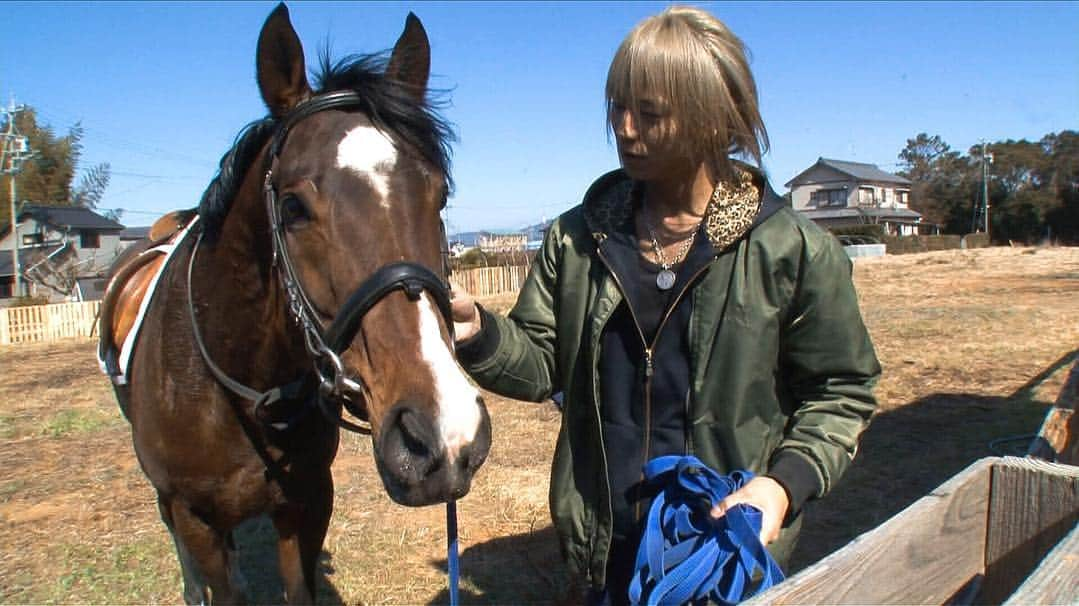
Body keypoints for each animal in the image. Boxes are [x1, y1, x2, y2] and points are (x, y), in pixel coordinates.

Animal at [97, 3, 494, 599]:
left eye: (439, 195)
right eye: (292, 207)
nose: (441, 437)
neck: (238, 386)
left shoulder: (307, 503)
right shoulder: (196, 517)